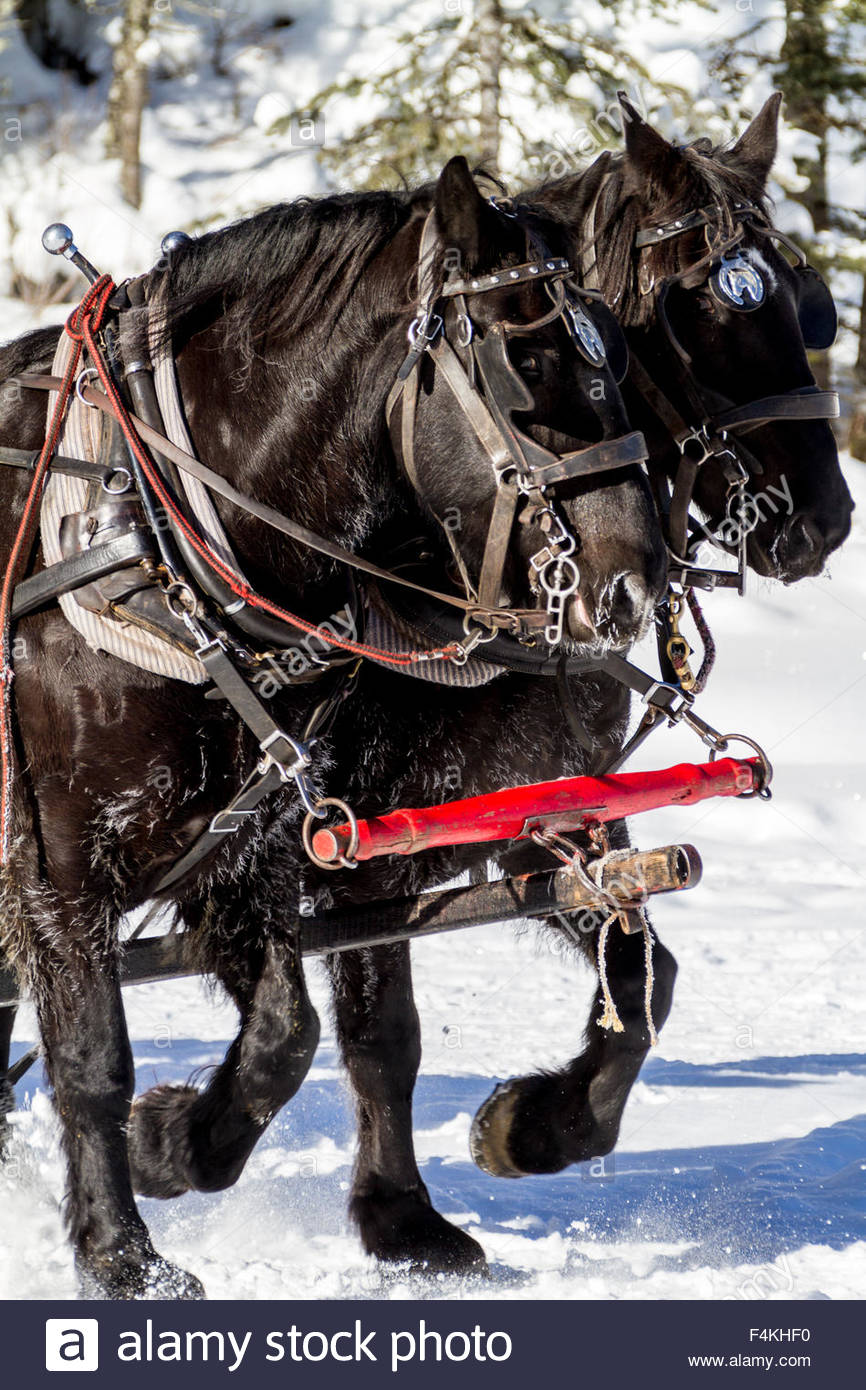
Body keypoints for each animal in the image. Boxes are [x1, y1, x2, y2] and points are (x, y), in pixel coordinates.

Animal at [0, 156, 666, 1296]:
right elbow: (93, 1059)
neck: (156, 536)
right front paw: (123, 1255)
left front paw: (180, 1142)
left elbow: (295, 1033)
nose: (630, 589)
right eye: (526, 363)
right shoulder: (62, 866)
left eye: (620, 356)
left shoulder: (263, 848)